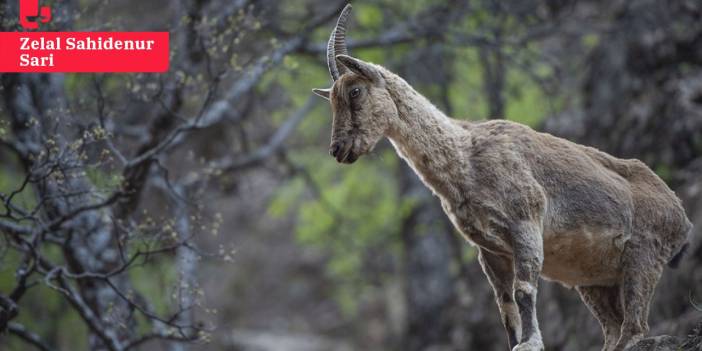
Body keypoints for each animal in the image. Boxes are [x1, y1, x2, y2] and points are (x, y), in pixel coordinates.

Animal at [312, 5, 692, 351]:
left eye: (355, 91)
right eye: (331, 100)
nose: (338, 149)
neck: (465, 160)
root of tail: (682, 218)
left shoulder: (526, 224)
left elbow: (524, 290)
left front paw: (531, 343)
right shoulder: (490, 250)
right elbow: (505, 306)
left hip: (642, 258)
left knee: (636, 328)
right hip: (595, 280)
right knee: (614, 330)